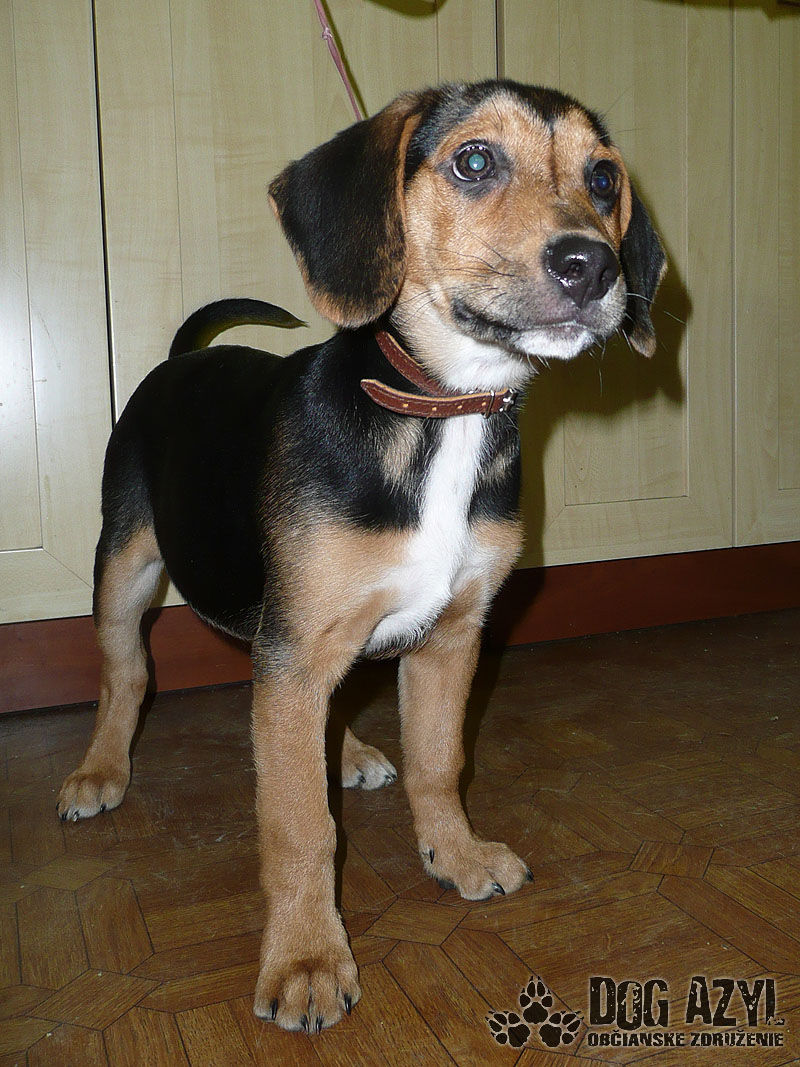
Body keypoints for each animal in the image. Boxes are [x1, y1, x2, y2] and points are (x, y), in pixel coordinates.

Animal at [57, 79, 665, 1032]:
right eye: (475, 160)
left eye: (603, 178)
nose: (592, 267)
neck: (445, 409)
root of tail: (177, 361)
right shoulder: (297, 646)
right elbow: (301, 825)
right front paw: (307, 957)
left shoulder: (450, 636)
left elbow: (439, 764)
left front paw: (455, 853)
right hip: (124, 570)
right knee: (126, 677)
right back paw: (99, 770)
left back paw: (341, 752)